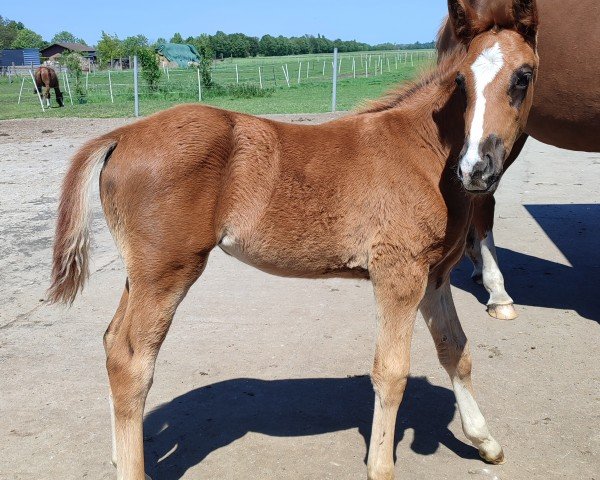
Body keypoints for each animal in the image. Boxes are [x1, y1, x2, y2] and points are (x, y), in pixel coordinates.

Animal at [49, 1, 540, 478]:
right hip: (167, 271)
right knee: (131, 362)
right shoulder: (398, 274)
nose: (476, 169)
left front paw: (485, 441)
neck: (425, 152)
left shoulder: (434, 276)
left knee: (112, 342)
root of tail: (122, 134)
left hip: (141, 274)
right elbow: (392, 371)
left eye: (523, 76)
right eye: (461, 80)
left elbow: (455, 350)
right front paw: (381, 466)